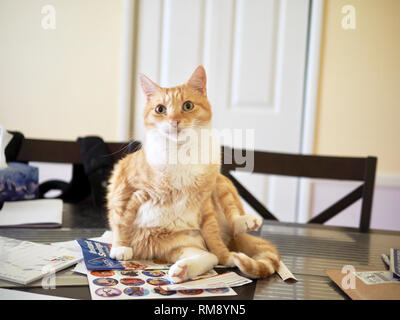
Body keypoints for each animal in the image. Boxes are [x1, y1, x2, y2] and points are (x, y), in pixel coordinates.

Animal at [107, 66, 282, 282]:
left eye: (188, 105)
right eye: (160, 109)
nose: (174, 121)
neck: (181, 153)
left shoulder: (205, 203)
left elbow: (214, 237)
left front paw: (227, 256)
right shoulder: (127, 186)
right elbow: (121, 218)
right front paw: (120, 246)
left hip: (221, 186)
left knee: (224, 236)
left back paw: (244, 225)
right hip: (177, 243)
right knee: (209, 256)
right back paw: (183, 269)